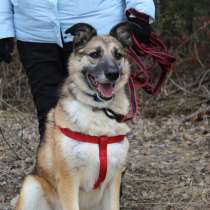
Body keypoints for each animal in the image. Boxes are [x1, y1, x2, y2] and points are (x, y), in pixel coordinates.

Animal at [15, 21, 135, 210]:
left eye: (118, 55)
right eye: (94, 54)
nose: (113, 74)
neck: (98, 109)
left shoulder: (114, 179)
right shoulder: (68, 180)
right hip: (31, 185)